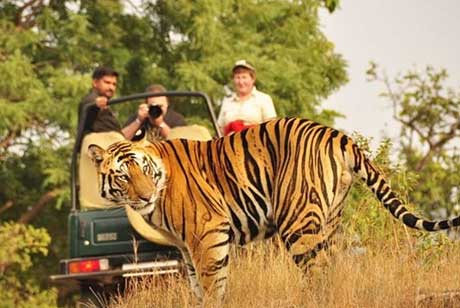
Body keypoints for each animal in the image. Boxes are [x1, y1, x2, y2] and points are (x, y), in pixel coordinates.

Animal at [87, 117, 460, 300]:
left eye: (144, 170)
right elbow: (197, 286)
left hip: (297, 222)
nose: (145, 196)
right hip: (329, 220)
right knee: (331, 268)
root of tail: (336, 134)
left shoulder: (207, 233)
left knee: (318, 272)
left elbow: (212, 284)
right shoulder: (186, 246)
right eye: (123, 175)